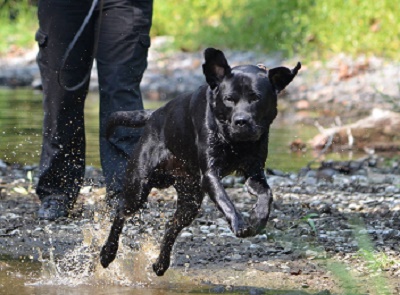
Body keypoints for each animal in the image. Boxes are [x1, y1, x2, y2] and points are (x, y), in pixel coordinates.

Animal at [100, 47, 300, 276]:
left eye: (256, 98)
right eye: (229, 99)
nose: (241, 122)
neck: (234, 142)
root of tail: (155, 113)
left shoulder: (255, 173)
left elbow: (267, 194)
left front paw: (258, 219)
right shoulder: (211, 174)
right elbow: (225, 199)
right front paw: (238, 223)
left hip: (190, 202)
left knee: (172, 226)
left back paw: (160, 264)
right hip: (138, 187)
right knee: (121, 212)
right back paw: (107, 253)